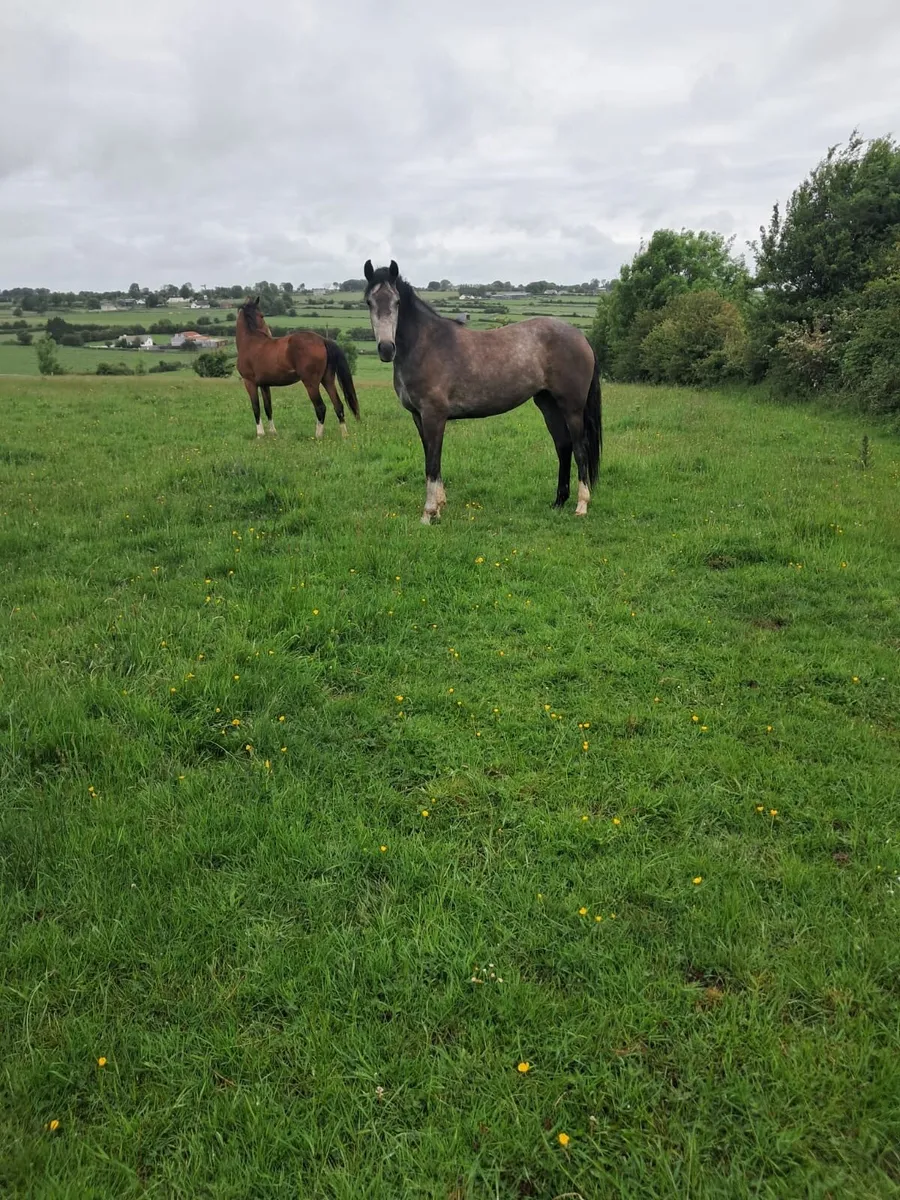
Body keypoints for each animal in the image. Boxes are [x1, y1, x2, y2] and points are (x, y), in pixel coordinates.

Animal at [235, 298, 360, 439]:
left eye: (262, 315)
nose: (269, 333)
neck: (250, 342)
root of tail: (323, 340)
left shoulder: (249, 382)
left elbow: (256, 407)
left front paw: (260, 434)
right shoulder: (264, 385)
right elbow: (268, 407)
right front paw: (272, 432)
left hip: (311, 384)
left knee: (321, 407)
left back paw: (318, 435)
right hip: (327, 380)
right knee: (338, 405)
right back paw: (344, 435)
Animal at [363, 261, 602, 524]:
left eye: (396, 302)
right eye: (369, 302)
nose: (386, 348)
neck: (426, 345)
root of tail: (581, 337)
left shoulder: (434, 416)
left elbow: (432, 463)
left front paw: (429, 513)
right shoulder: (418, 416)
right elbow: (431, 459)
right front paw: (439, 506)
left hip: (572, 408)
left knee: (580, 448)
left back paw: (581, 505)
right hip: (548, 404)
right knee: (563, 446)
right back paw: (559, 501)